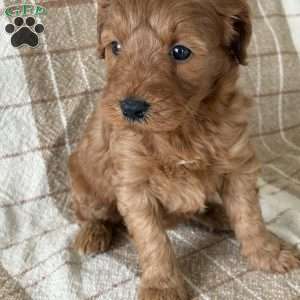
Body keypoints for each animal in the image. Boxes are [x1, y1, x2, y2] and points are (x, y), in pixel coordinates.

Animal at [69, 1, 298, 298]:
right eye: (115, 47)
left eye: (180, 51)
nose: (130, 108)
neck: (184, 128)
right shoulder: (133, 184)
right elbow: (152, 239)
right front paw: (161, 285)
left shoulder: (238, 164)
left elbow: (249, 216)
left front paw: (268, 253)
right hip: (86, 183)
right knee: (90, 214)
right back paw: (93, 234)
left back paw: (219, 214)